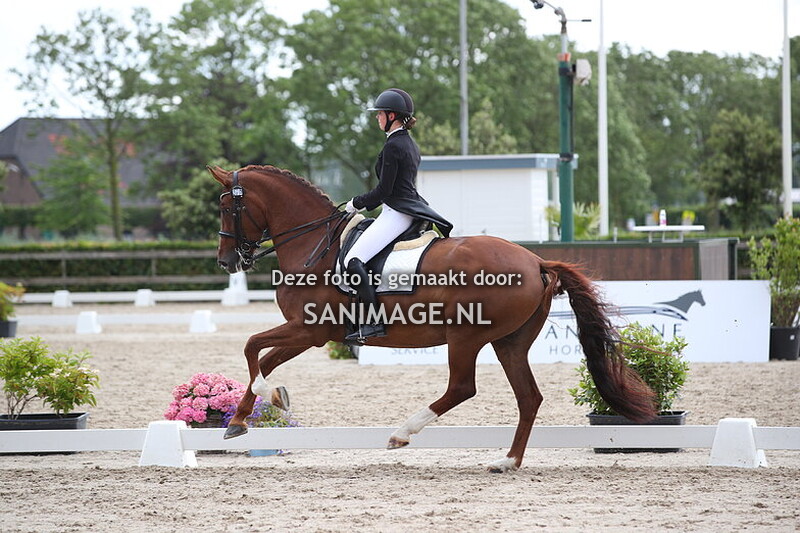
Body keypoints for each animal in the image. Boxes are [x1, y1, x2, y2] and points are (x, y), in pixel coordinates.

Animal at [209, 164, 657, 473]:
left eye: (227, 206)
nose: (226, 261)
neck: (314, 244)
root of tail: (536, 261)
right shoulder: (308, 334)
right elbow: (263, 359)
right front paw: (245, 417)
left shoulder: (309, 329)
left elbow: (251, 347)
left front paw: (263, 400)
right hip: (510, 342)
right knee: (528, 397)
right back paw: (507, 461)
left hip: (465, 336)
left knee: (462, 387)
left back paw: (402, 433)